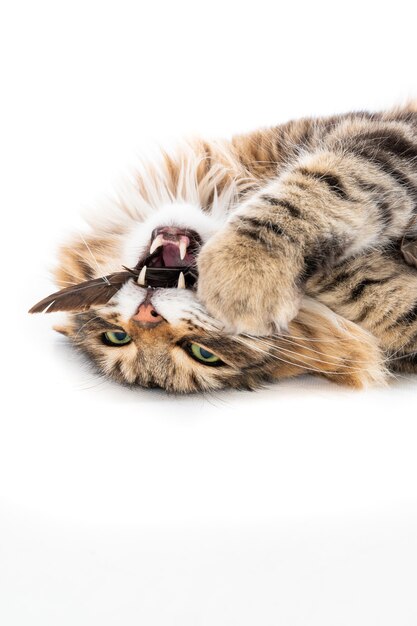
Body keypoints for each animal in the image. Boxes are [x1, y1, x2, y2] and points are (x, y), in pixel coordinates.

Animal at [29, 105, 416, 392]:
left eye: (201, 353)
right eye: (117, 336)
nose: (146, 314)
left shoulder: (383, 137)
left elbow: (329, 186)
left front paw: (244, 270)